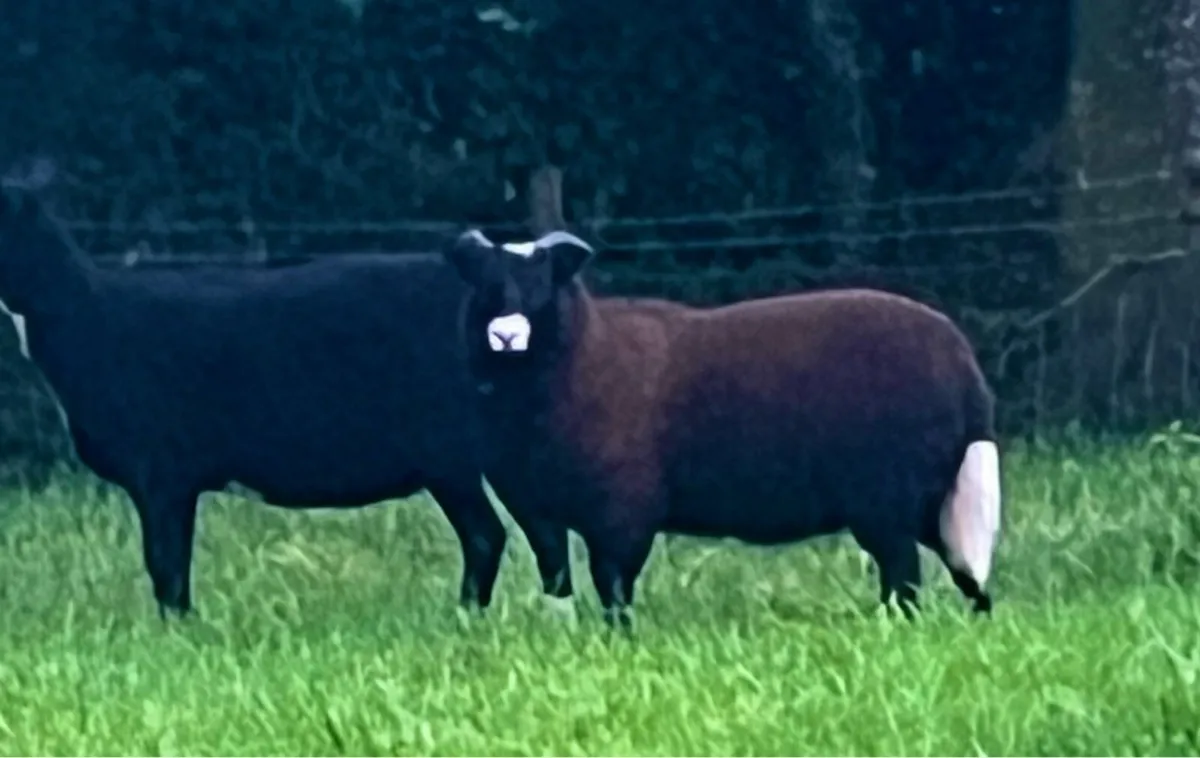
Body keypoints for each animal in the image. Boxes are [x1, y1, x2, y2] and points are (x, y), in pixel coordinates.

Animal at [0, 184, 576, 620]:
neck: (86, 315)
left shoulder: (162, 469)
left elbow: (165, 563)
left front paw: (177, 633)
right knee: (511, 535)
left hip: (461, 450)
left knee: (505, 534)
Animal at [443, 228, 1003, 629]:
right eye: (486, 287)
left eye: (541, 288)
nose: (506, 335)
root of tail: (963, 364)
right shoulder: (532, 506)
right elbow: (557, 574)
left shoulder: (621, 508)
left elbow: (613, 584)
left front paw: (618, 640)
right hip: (930, 496)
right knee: (959, 569)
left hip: (889, 498)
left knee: (904, 574)